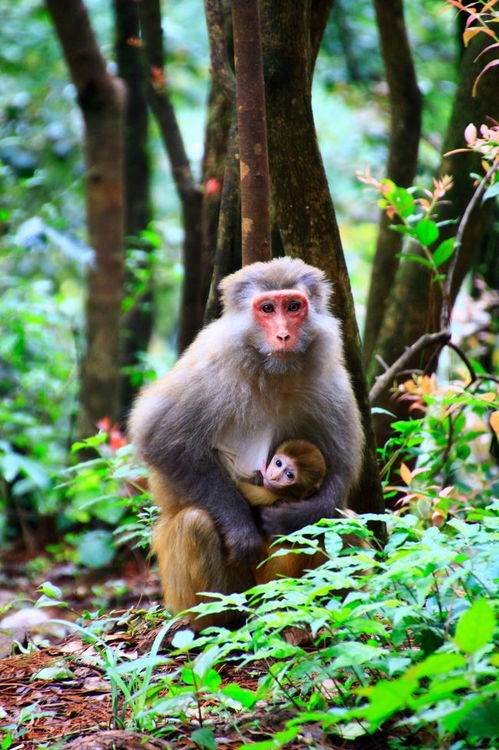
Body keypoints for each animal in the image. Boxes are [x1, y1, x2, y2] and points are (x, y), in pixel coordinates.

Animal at [129, 256, 366, 624]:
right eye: (267, 308)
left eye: (294, 306)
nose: (283, 334)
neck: (269, 370)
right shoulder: (210, 367)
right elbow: (159, 438)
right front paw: (240, 527)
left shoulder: (331, 379)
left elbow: (339, 476)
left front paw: (290, 518)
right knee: (195, 524)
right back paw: (217, 622)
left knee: (340, 519)